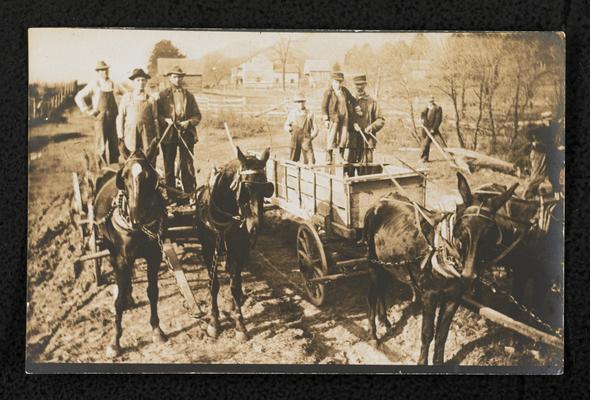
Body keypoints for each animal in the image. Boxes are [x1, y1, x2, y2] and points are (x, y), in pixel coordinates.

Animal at [93, 140, 166, 356]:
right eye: (124, 177)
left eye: (149, 176)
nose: (136, 218)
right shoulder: (122, 258)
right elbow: (117, 301)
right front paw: (115, 341)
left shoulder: (155, 255)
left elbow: (153, 291)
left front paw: (157, 329)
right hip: (111, 249)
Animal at [197, 147, 276, 340]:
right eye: (245, 189)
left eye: (267, 188)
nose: (255, 227)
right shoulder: (208, 250)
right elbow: (213, 284)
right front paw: (214, 321)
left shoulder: (239, 250)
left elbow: (235, 286)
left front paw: (240, 324)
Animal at [364, 173, 520, 366]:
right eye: (461, 230)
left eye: (489, 234)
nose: (469, 276)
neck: (446, 252)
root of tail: (381, 200)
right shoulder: (429, 294)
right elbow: (427, 333)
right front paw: (422, 363)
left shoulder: (454, 296)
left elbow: (442, 335)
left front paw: (438, 362)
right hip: (373, 262)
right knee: (372, 295)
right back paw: (373, 335)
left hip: (388, 263)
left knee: (382, 288)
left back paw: (384, 319)